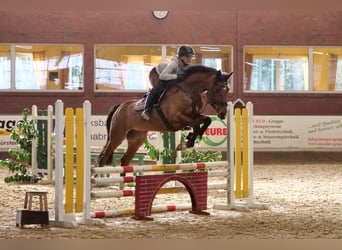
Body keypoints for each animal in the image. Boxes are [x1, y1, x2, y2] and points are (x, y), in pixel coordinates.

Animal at [96, 65, 232, 170]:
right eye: (217, 89)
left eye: (227, 90)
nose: (223, 113)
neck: (189, 90)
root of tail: (120, 107)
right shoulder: (176, 119)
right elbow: (196, 124)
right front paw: (187, 142)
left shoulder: (194, 116)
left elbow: (206, 120)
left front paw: (189, 139)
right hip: (117, 136)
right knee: (103, 158)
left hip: (136, 138)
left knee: (125, 160)